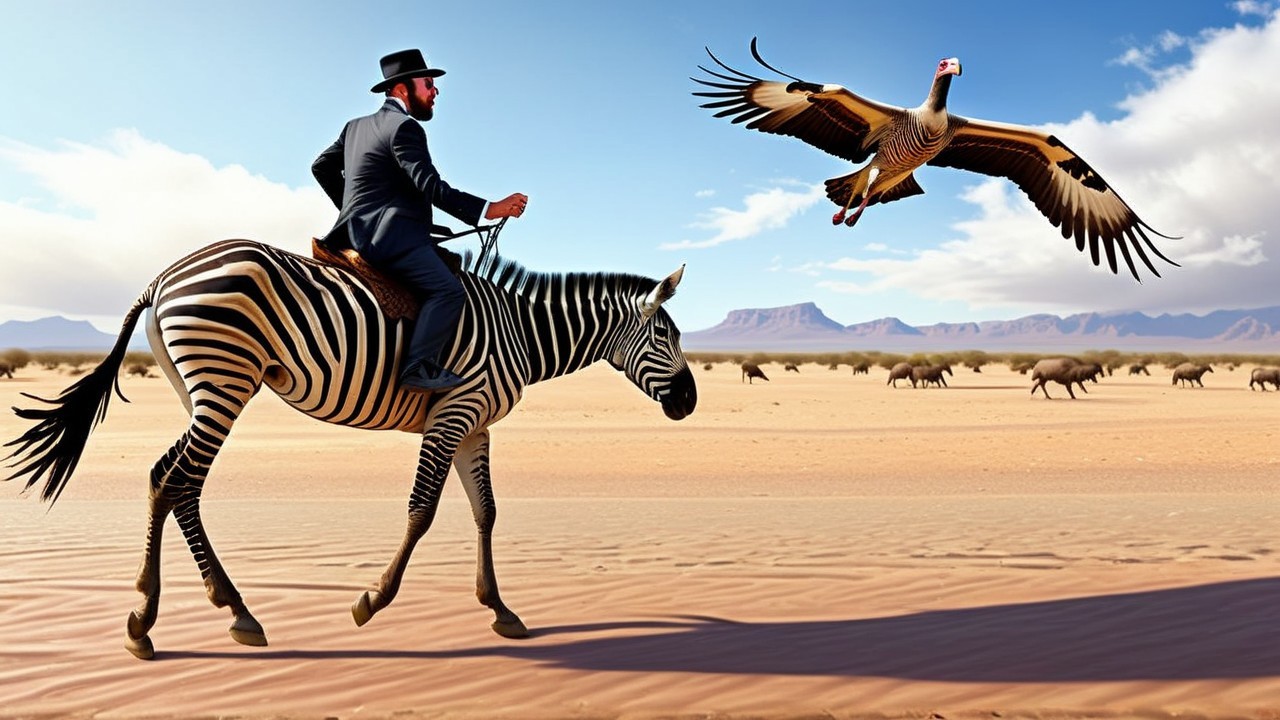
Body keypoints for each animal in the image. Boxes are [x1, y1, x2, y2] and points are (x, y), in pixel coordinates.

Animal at [4, 238, 697, 660]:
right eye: (666, 336)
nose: (690, 402)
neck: (517, 332)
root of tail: (163, 275)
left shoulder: (476, 424)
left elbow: (486, 513)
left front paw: (501, 610)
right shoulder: (453, 413)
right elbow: (422, 510)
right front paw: (372, 600)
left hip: (197, 388)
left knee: (167, 478)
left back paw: (225, 612)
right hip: (224, 378)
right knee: (178, 481)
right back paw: (153, 621)